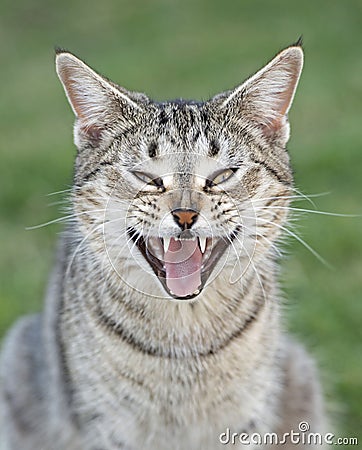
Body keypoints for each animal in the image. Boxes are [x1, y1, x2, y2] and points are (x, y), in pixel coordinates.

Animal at [0, 43, 328, 450]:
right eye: (146, 177)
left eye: (222, 175)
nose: (185, 214)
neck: (183, 339)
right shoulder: (109, 426)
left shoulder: (246, 419)